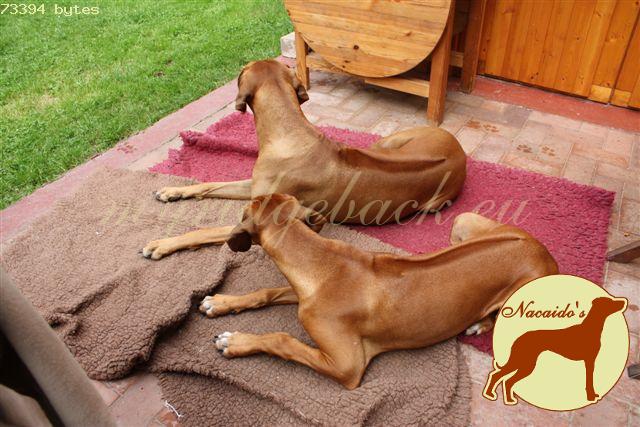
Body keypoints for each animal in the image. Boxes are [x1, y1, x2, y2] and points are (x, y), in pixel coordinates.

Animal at [142, 59, 466, 259]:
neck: (289, 130)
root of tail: (461, 153)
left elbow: (204, 230)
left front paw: (161, 243)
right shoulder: (254, 187)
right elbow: (209, 184)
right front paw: (173, 191)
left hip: (433, 202)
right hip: (388, 141)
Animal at [196, 194, 558, 389]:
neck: (320, 260)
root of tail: (543, 252)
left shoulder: (347, 366)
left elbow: (282, 340)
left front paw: (236, 341)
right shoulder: (302, 294)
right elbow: (268, 290)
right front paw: (222, 302)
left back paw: (481, 323)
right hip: (466, 223)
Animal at [483, 296, 627, 405]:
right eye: (610, 302)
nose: (624, 302)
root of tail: (519, 338)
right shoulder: (589, 361)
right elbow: (589, 381)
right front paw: (591, 397)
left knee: (504, 379)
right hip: (524, 363)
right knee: (501, 377)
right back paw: (495, 395)